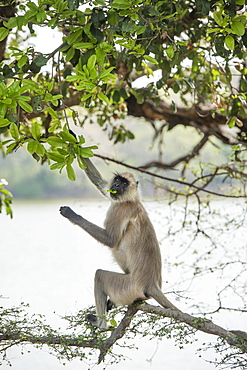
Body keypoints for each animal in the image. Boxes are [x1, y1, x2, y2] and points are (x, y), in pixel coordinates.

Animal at [59, 158, 179, 328]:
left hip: (127, 286)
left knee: (100, 275)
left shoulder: (120, 209)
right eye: (117, 180)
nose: (116, 186)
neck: (131, 200)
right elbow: (102, 185)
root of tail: (151, 283)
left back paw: (100, 325)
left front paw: (73, 216)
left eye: (124, 183)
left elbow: (110, 240)